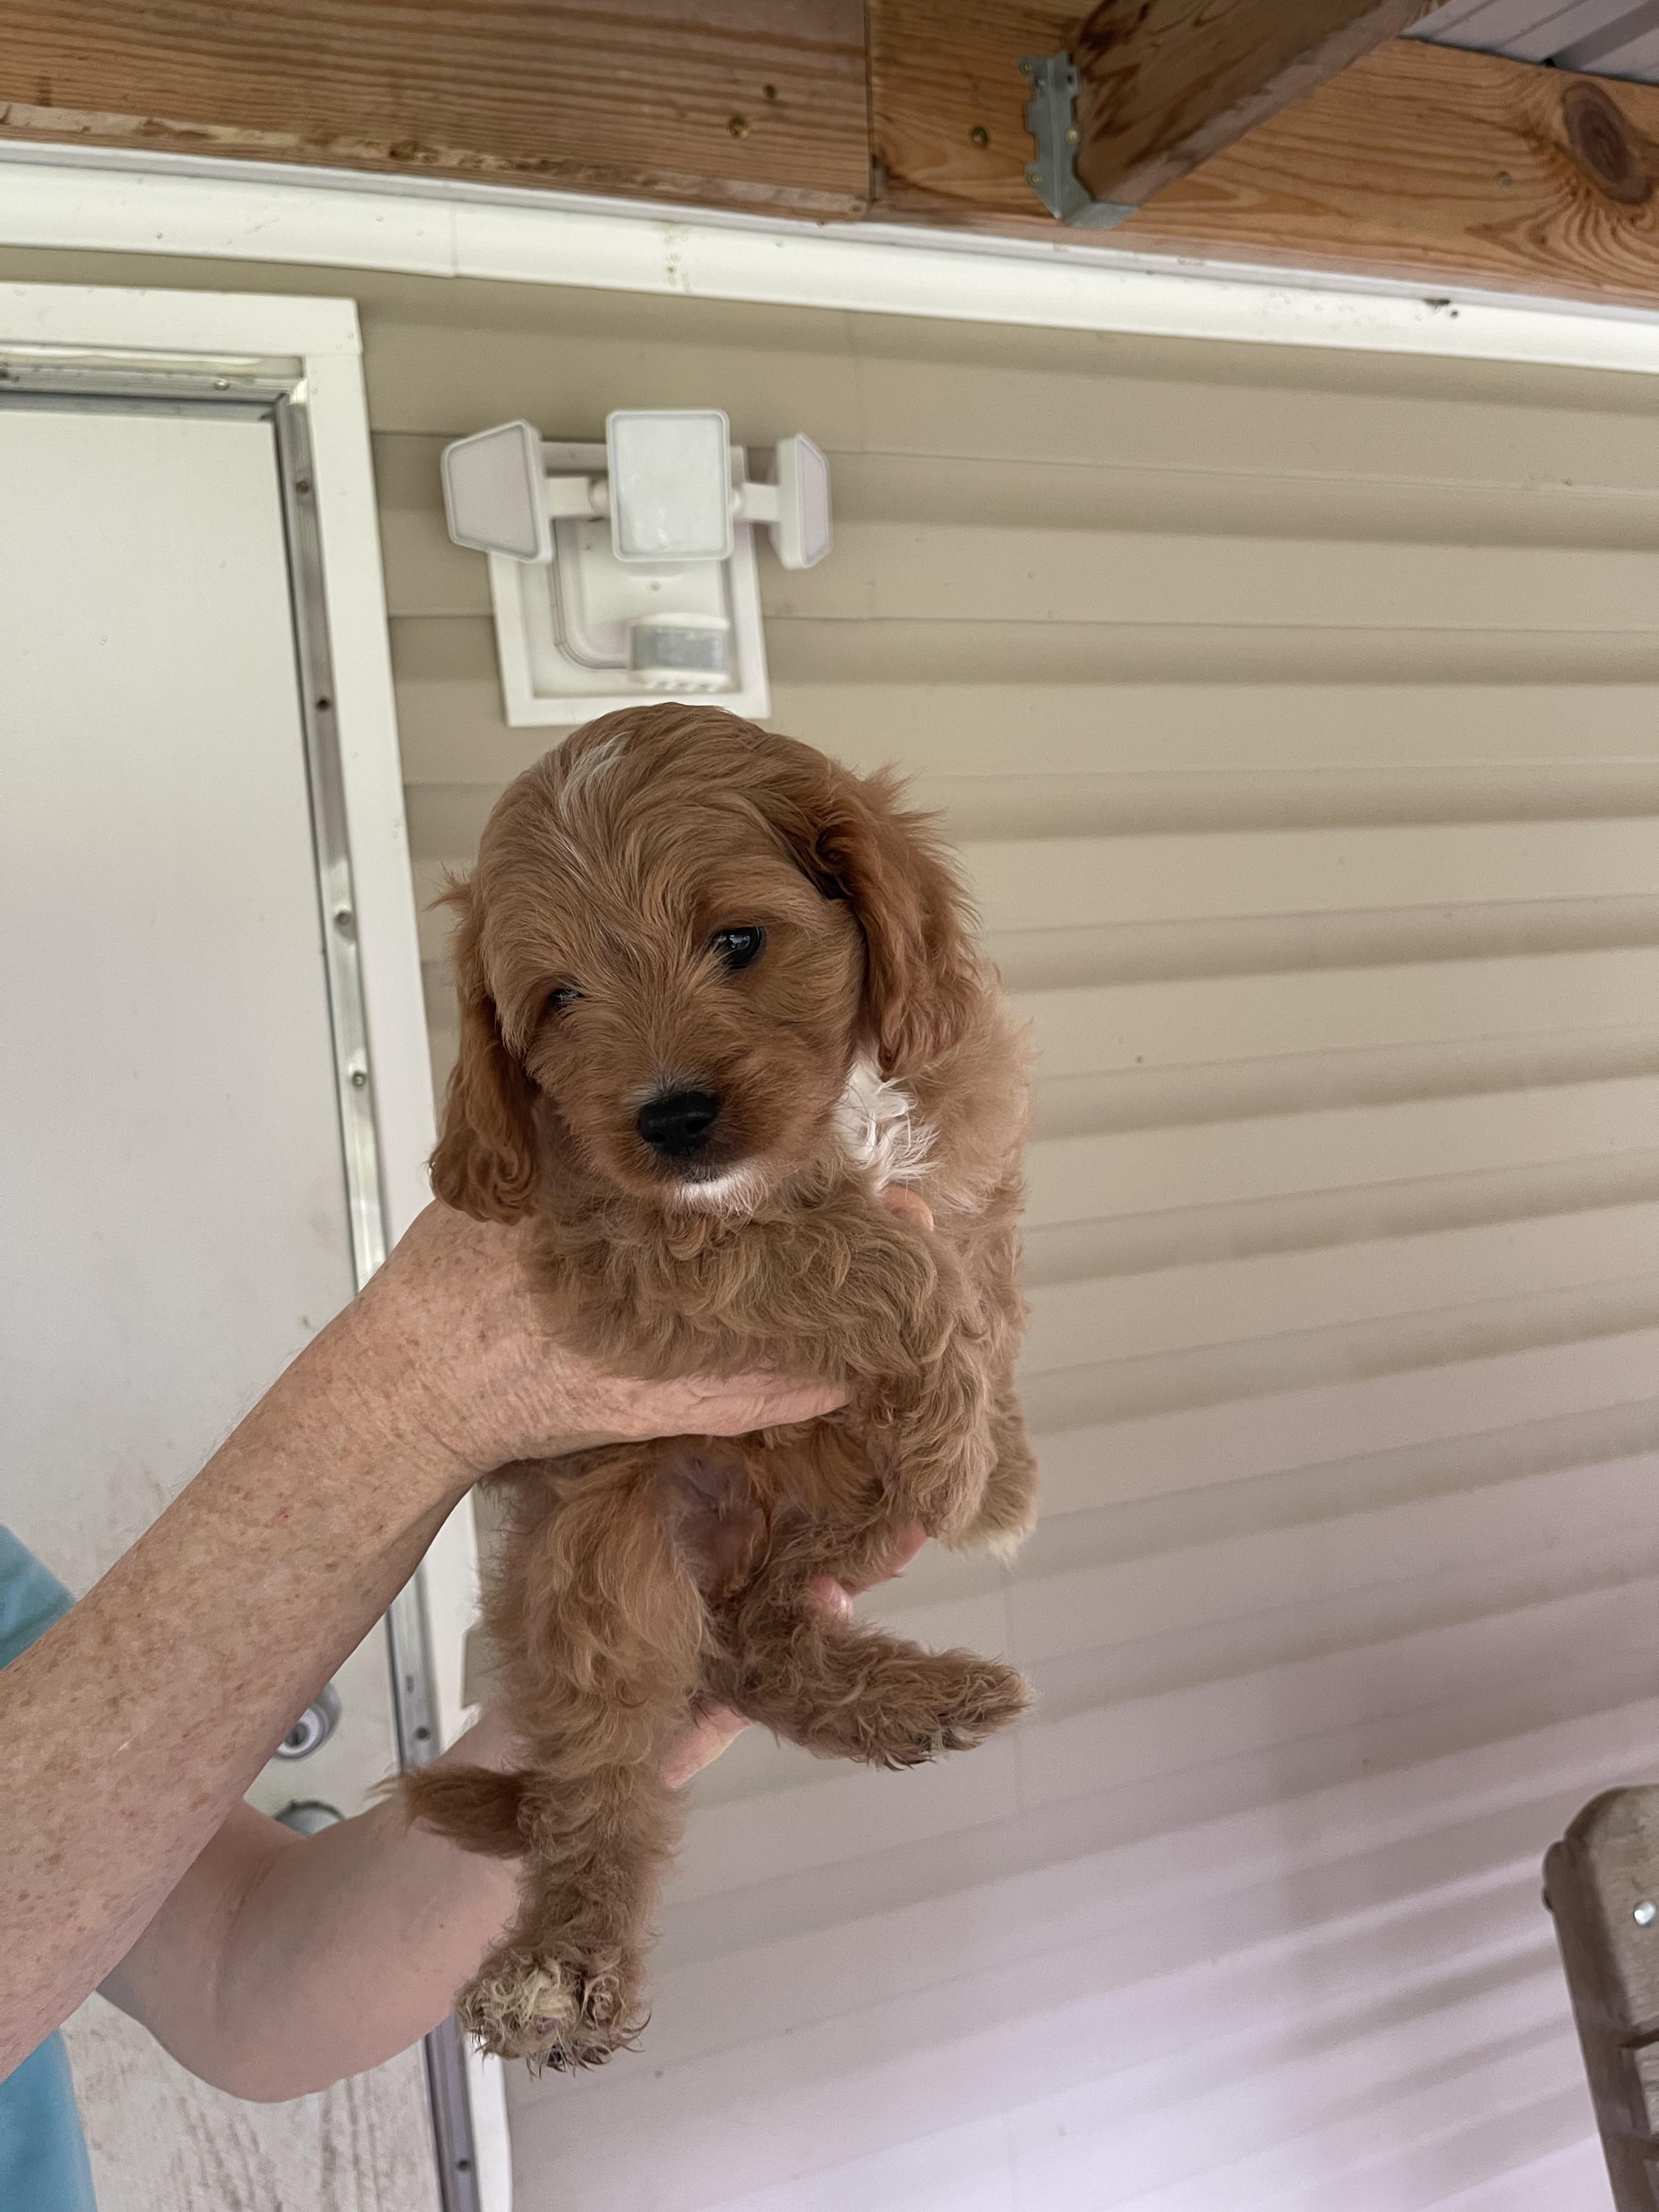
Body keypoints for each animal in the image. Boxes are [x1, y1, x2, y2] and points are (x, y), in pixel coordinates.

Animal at [407, 703, 1037, 2068]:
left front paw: (992, 1461)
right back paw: (556, 1968)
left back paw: (919, 1700)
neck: (830, 1132)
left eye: (738, 940)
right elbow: (874, 1255)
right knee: (603, 1773)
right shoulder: (633, 1257)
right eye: (561, 998)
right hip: (602, 1550)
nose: (672, 1118)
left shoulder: (966, 1131)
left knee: (756, 1644)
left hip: (821, 1515)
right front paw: (971, 1464)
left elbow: (978, 1273)